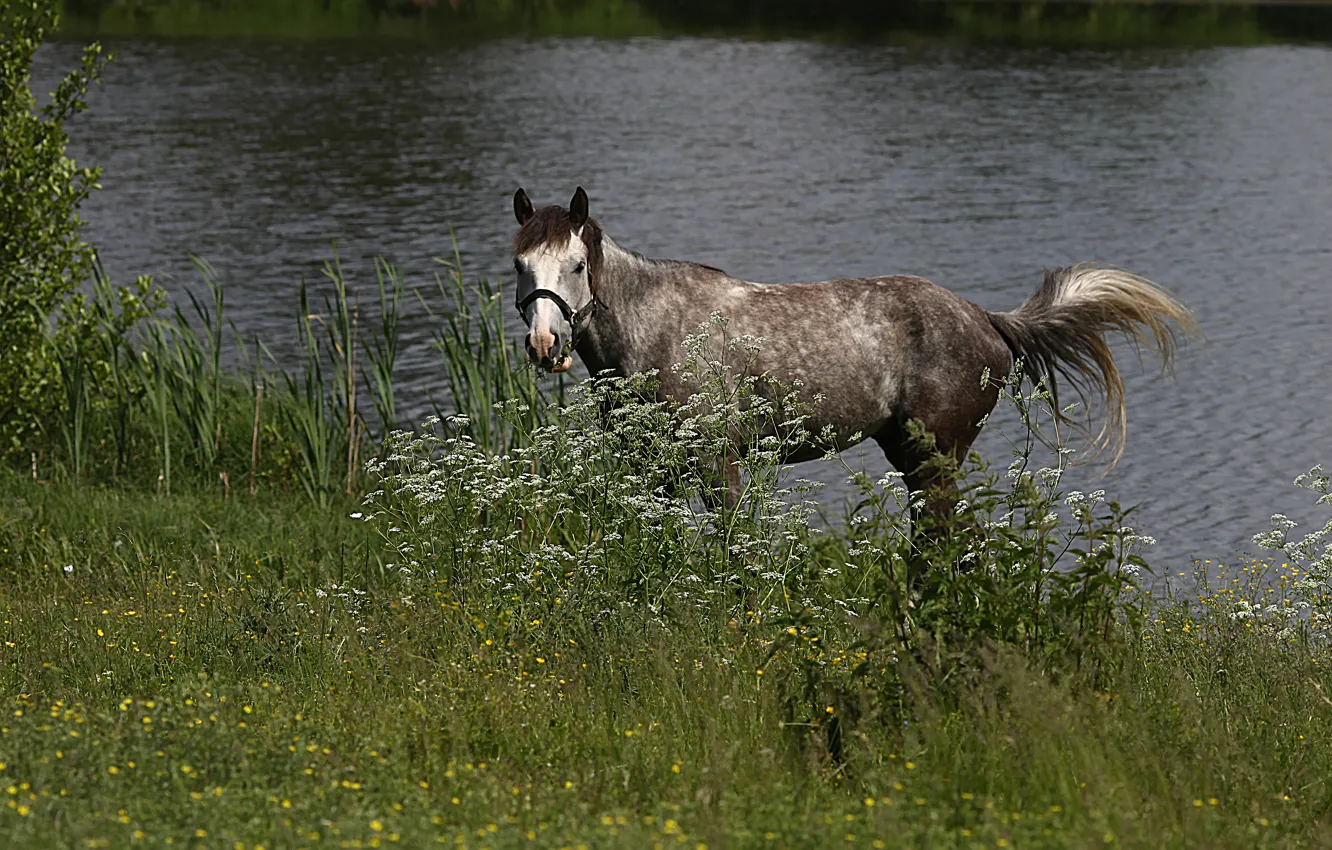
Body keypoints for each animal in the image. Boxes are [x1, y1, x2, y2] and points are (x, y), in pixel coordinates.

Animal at [510, 186, 1196, 519]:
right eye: (520, 265)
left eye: (576, 265)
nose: (545, 344)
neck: (660, 327)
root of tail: (987, 319)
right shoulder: (649, 471)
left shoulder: (717, 462)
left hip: (936, 458)